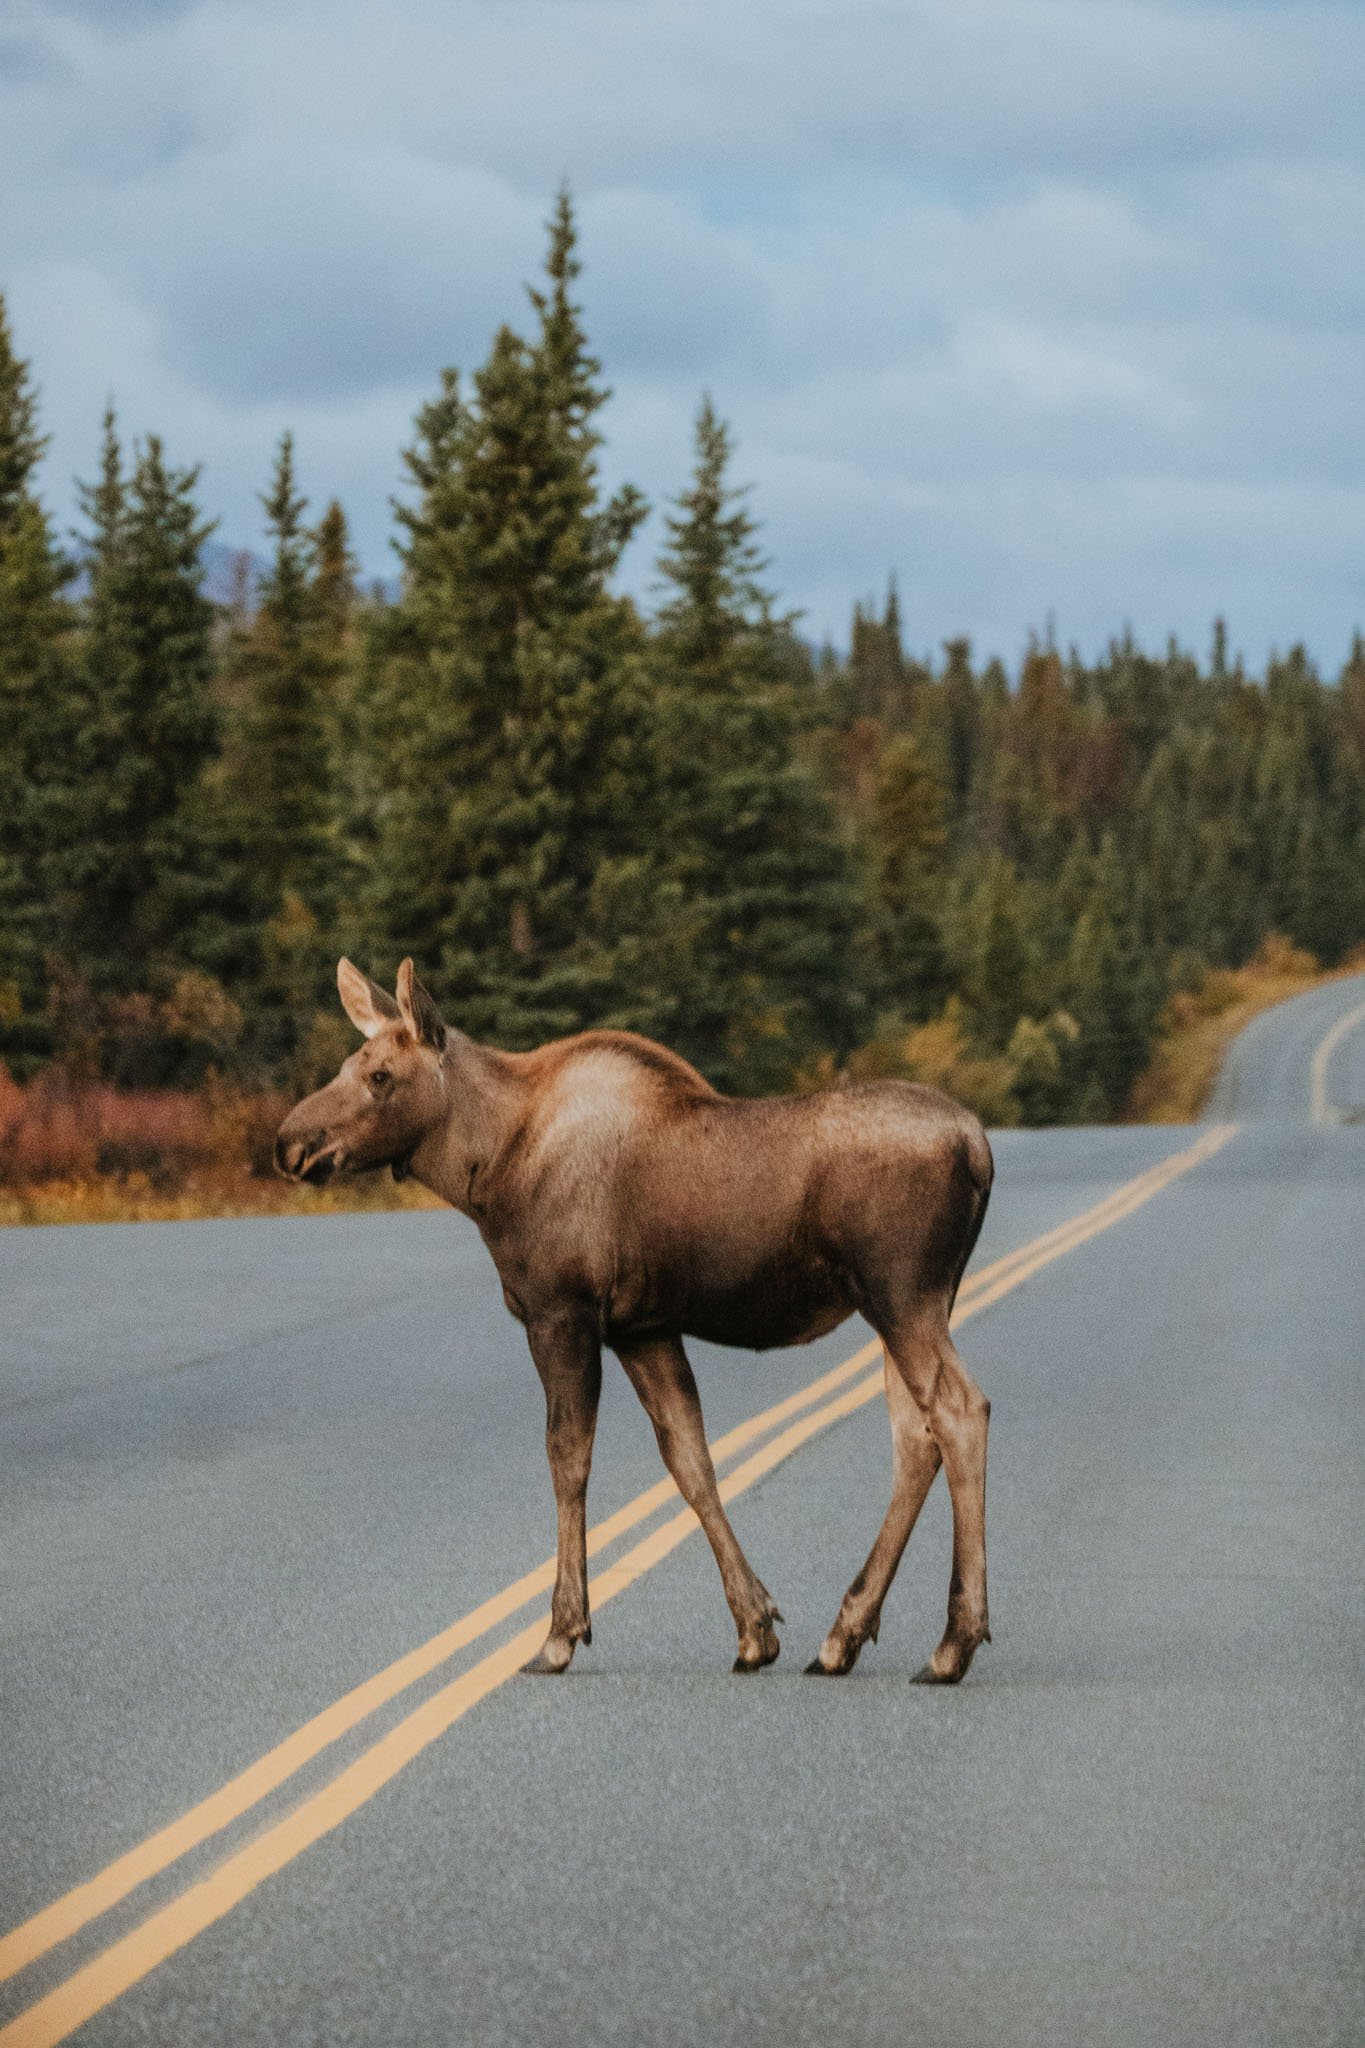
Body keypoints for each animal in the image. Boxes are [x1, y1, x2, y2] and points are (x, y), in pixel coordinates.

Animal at [275, 959, 995, 1683]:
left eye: (379, 1076)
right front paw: (755, 1628)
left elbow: (567, 1456)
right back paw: (844, 1634)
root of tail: (978, 1148)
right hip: (912, 1303)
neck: (488, 1170)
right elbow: (690, 1460)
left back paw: (953, 1643)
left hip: (902, 1294)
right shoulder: (641, 1329)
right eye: (347, 1063)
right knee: (914, 1436)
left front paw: (561, 1632)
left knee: (959, 1411)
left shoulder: (560, 1313)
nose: (290, 1143)